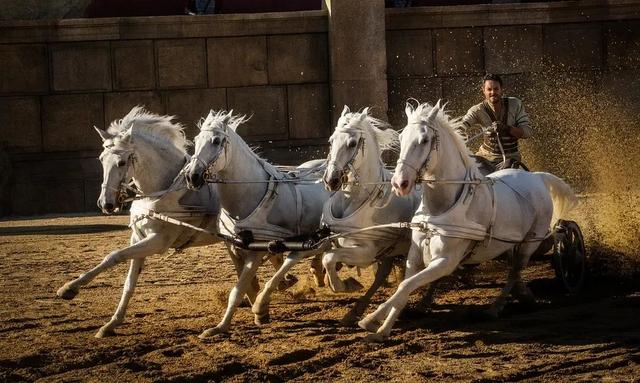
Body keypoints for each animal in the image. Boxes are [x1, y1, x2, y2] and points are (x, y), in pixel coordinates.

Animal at [57, 106, 222, 338]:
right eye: (101, 159)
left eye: (121, 162)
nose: (105, 203)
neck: (163, 191)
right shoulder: (138, 237)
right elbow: (129, 282)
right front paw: (111, 323)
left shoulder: (158, 242)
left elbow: (113, 256)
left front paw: (69, 288)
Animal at [181, 110, 328, 336]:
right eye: (196, 140)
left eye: (216, 141)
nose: (191, 176)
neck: (249, 194)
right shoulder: (233, 247)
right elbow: (245, 286)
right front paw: (226, 323)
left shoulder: (256, 250)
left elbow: (238, 289)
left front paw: (226, 325)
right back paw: (316, 273)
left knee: (304, 252)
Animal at [320, 106, 420, 326]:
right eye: (331, 140)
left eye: (352, 143)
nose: (331, 180)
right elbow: (326, 257)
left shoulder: (366, 252)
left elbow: (329, 259)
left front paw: (344, 285)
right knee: (382, 274)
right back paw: (354, 312)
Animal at [358, 101, 576, 342]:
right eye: (402, 137)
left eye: (424, 140)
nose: (399, 183)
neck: (439, 209)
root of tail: (537, 177)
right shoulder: (414, 256)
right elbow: (403, 288)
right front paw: (382, 329)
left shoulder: (446, 261)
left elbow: (407, 285)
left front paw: (370, 319)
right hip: (510, 243)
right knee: (514, 271)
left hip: (530, 242)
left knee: (515, 272)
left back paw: (495, 308)